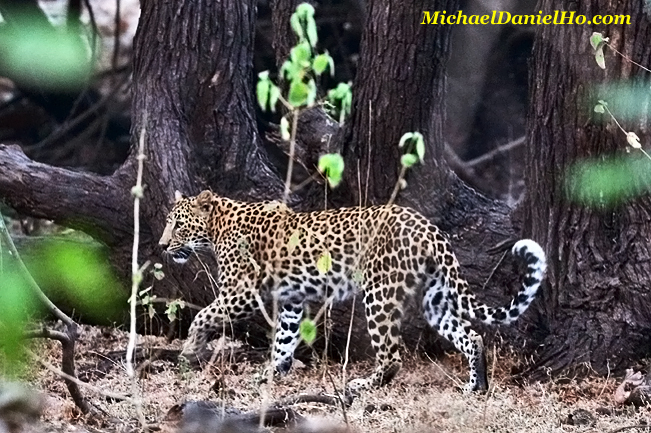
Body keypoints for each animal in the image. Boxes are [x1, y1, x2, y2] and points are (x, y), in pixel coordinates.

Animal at [160, 189, 548, 392]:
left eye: (178, 225)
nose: (162, 246)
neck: (216, 228)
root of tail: (428, 227)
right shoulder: (291, 301)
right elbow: (284, 339)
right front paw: (272, 373)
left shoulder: (241, 291)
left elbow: (203, 315)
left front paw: (190, 349)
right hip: (435, 298)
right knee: (471, 336)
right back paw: (475, 385)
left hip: (379, 292)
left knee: (392, 355)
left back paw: (363, 385)